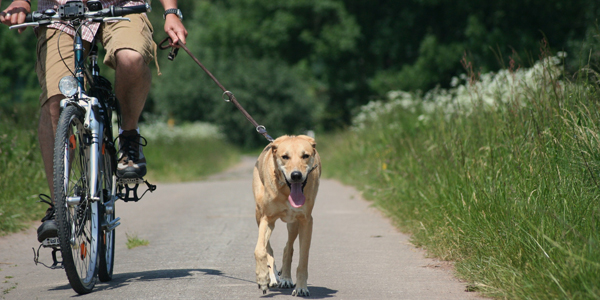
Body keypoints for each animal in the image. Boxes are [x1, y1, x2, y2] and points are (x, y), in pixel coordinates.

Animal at [252, 135, 322, 296]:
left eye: (305, 156)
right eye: (285, 157)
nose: (296, 175)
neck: (285, 191)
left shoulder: (306, 221)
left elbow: (303, 258)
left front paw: (301, 287)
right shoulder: (266, 218)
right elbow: (260, 250)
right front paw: (262, 277)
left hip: (293, 224)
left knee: (288, 248)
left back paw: (285, 278)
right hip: (259, 214)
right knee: (269, 248)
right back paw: (272, 277)